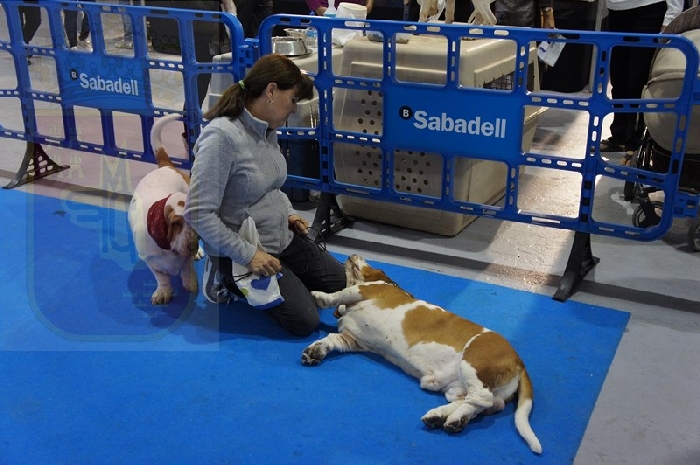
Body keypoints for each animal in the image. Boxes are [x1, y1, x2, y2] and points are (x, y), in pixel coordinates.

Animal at [127, 113, 201, 305]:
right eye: (176, 223)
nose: (192, 246)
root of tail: (166, 165)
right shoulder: (152, 261)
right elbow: (162, 278)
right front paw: (163, 292)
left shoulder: (186, 259)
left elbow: (187, 269)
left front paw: (190, 283)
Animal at [301, 254, 542, 454]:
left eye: (375, 266)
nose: (354, 255)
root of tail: (519, 362)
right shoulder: (354, 339)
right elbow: (332, 340)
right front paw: (316, 350)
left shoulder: (365, 291)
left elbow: (339, 294)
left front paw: (319, 296)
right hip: (458, 388)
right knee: (483, 404)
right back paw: (442, 416)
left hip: (473, 365)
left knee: (482, 399)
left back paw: (453, 418)